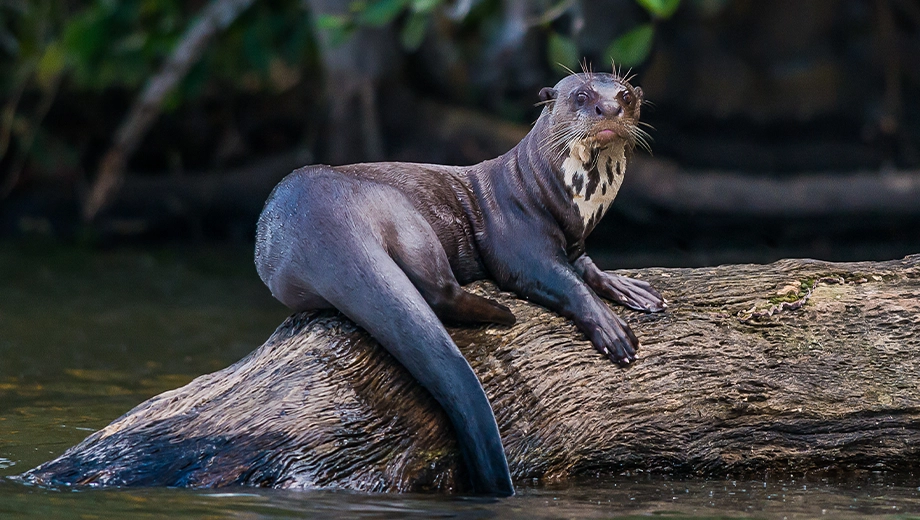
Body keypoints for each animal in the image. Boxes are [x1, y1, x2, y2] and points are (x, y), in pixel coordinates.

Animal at [255, 70, 664, 496]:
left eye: (625, 95)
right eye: (581, 96)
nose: (609, 108)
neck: (550, 192)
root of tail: (318, 221)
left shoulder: (576, 241)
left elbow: (588, 268)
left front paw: (631, 289)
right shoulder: (518, 240)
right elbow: (560, 280)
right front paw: (611, 329)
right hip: (400, 212)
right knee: (438, 290)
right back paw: (501, 313)